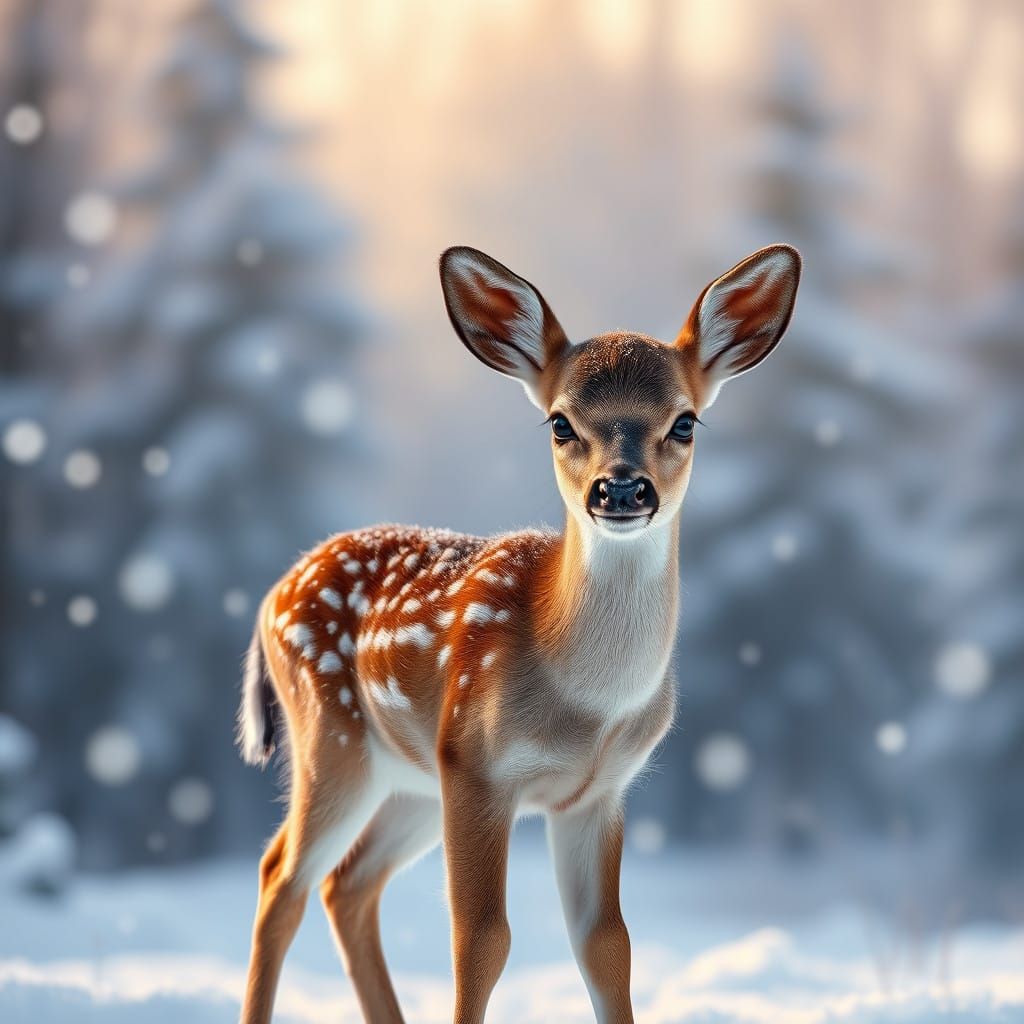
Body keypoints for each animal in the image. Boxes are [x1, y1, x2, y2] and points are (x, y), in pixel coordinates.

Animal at [236, 243, 801, 1024]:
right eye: (561, 423)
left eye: (685, 422)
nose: (620, 489)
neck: (584, 703)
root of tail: (271, 593)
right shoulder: (477, 763)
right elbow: (482, 939)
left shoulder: (598, 793)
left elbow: (607, 945)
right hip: (334, 735)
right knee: (280, 875)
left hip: (411, 779)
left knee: (344, 884)